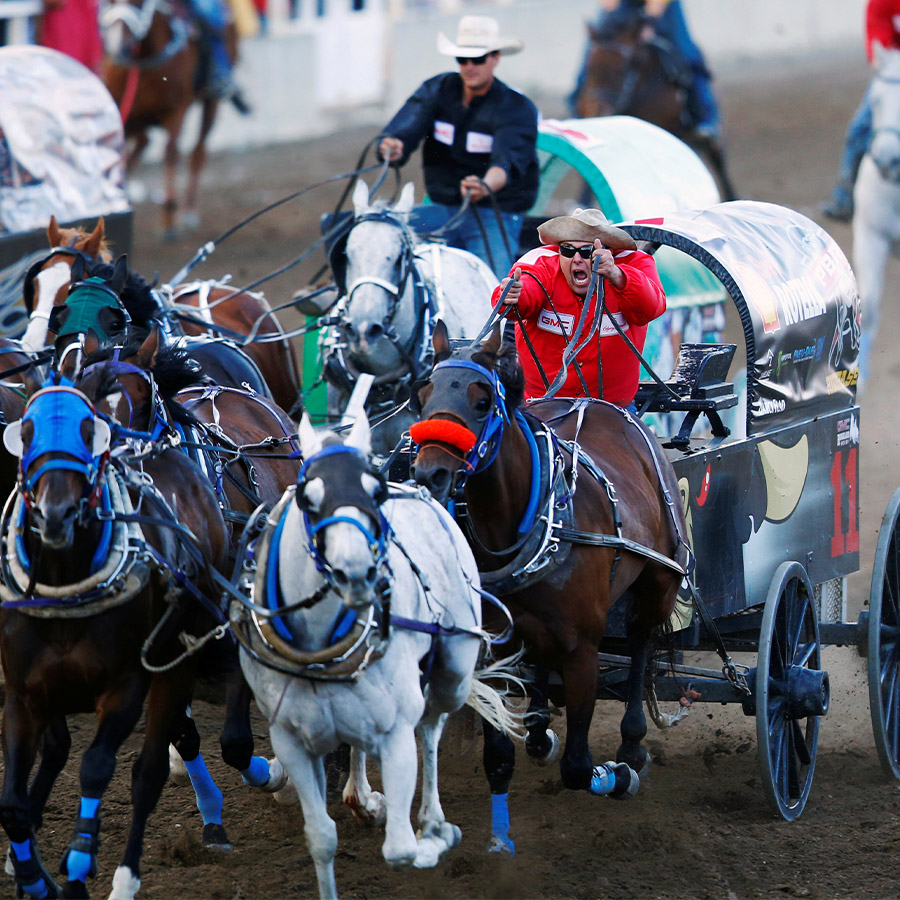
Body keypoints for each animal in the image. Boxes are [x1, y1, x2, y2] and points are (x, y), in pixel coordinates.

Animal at [0, 374, 232, 900]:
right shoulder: (23, 695)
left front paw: (78, 864)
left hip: (178, 659)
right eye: (27, 431)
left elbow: (97, 767)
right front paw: (32, 877)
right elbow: (13, 803)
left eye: (90, 432)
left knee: (148, 773)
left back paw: (126, 876)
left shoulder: (125, 686)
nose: (57, 514)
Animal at [236, 412, 520, 896]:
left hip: (452, 675)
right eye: (309, 499)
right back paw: (363, 797)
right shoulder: (293, 742)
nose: (357, 572)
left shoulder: (395, 735)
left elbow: (401, 850)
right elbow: (321, 839)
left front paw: (434, 837)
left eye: (375, 491)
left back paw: (431, 818)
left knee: (432, 725)